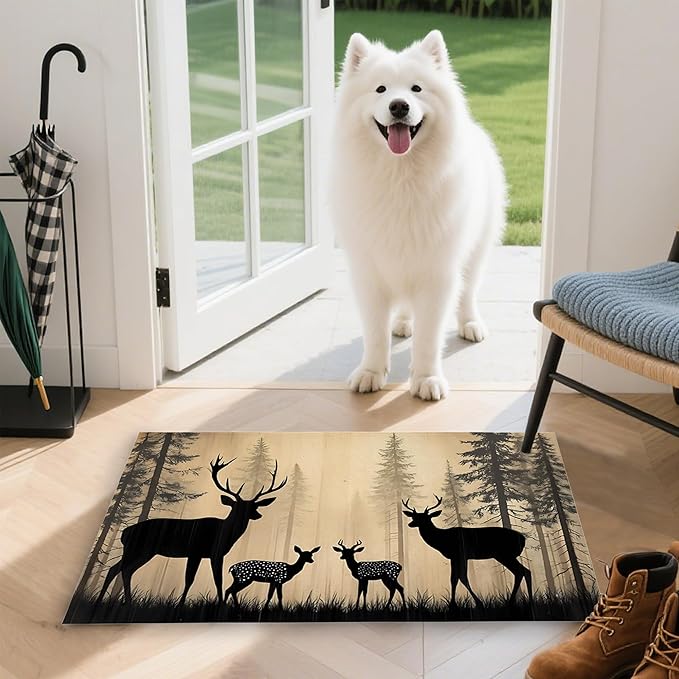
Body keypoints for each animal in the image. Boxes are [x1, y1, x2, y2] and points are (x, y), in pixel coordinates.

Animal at [96, 456, 287, 607]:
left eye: (253, 507)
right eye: (238, 507)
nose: (258, 515)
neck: (223, 533)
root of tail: (124, 533)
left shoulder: (215, 555)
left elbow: (218, 579)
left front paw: (220, 604)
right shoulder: (196, 551)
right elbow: (190, 579)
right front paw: (180, 605)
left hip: (143, 552)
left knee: (120, 570)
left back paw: (116, 602)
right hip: (138, 549)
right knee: (120, 570)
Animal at [402, 495, 532, 608]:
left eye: (425, 518)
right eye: (413, 517)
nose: (410, 523)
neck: (442, 539)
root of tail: (523, 539)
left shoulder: (457, 555)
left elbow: (458, 578)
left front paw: (458, 604)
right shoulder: (458, 557)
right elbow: (457, 578)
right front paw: (457, 604)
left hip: (504, 554)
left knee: (522, 571)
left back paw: (515, 601)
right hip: (504, 555)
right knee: (523, 571)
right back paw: (525, 600)